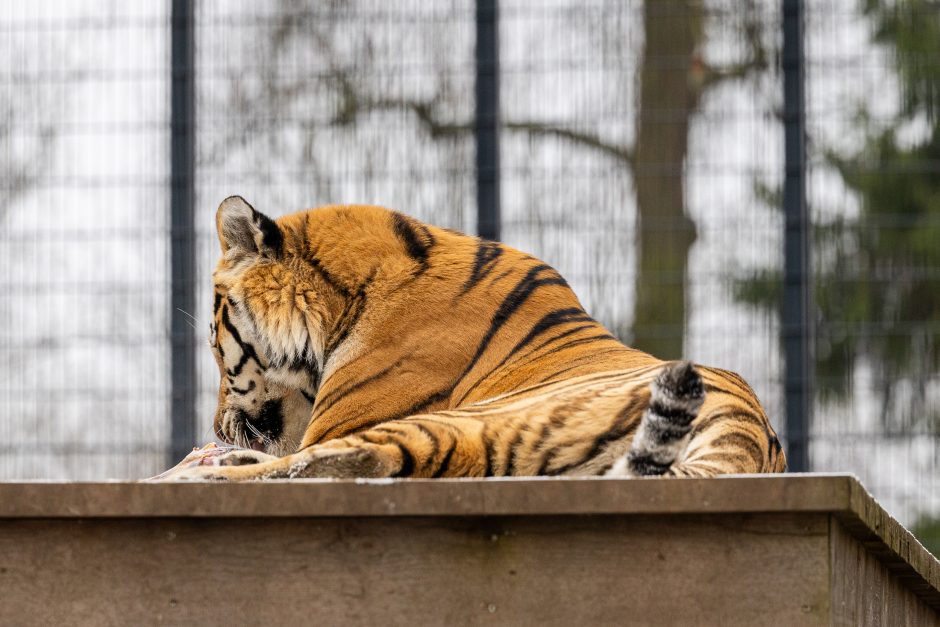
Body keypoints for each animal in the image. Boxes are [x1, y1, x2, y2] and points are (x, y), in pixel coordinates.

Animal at [163, 196, 784, 480]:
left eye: (216, 347)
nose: (216, 426)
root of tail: (745, 428)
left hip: (462, 421)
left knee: (355, 459)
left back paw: (203, 470)